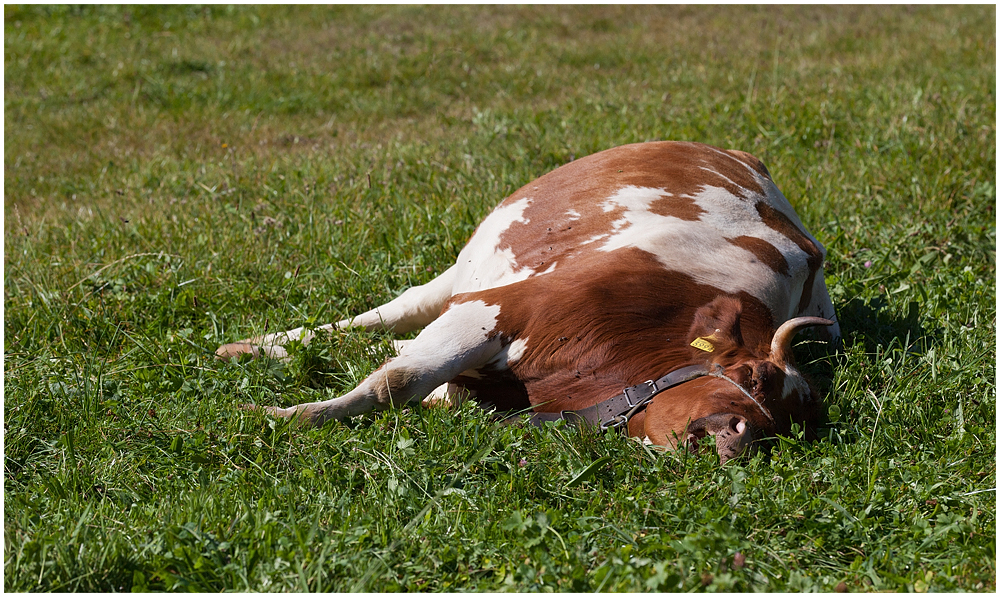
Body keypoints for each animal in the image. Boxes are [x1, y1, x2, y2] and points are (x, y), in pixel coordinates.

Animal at [217, 140, 836, 460]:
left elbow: (401, 379)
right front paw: (273, 416)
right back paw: (252, 348)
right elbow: (393, 384)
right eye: (752, 376)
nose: (739, 437)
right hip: (465, 271)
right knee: (390, 314)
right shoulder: (504, 306)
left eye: (785, 427)